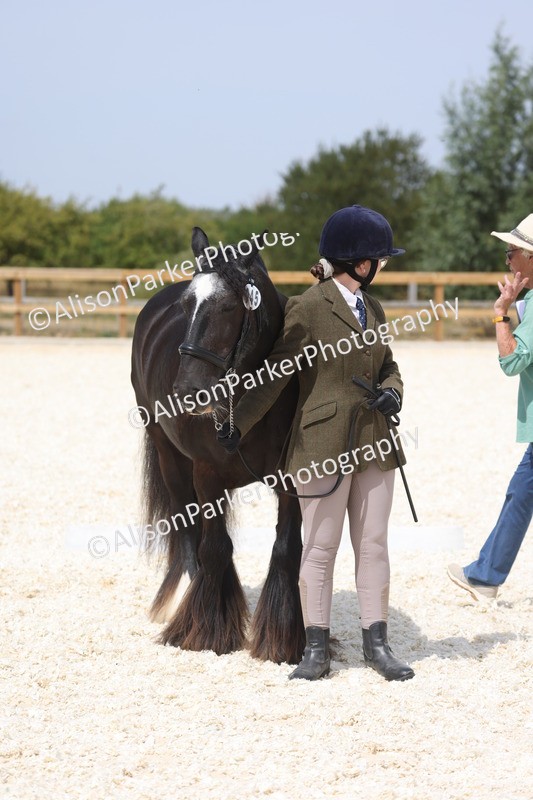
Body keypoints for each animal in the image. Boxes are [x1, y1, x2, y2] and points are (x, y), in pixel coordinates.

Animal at [130, 227, 305, 663]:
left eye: (228, 307)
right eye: (186, 305)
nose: (187, 393)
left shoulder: (292, 482)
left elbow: (286, 548)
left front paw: (281, 640)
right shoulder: (207, 477)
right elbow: (214, 548)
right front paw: (207, 634)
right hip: (168, 457)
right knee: (188, 529)